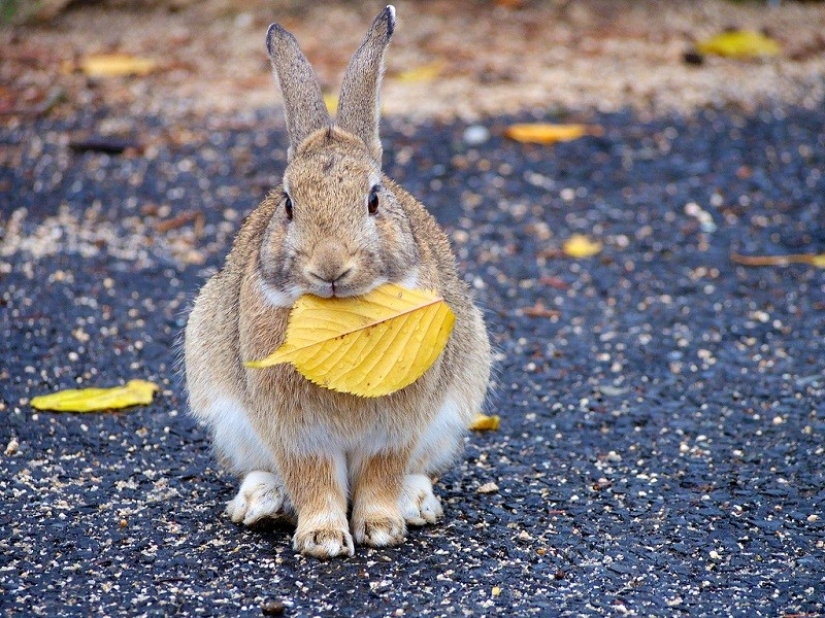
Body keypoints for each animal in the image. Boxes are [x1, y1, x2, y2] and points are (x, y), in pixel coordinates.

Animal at [184, 5, 491, 559]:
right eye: (288, 204)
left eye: (374, 199)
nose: (330, 267)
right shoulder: (296, 432)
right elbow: (313, 478)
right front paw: (324, 539)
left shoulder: (396, 427)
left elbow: (382, 472)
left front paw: (382, 528)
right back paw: (262, 502)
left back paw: (415, 504)